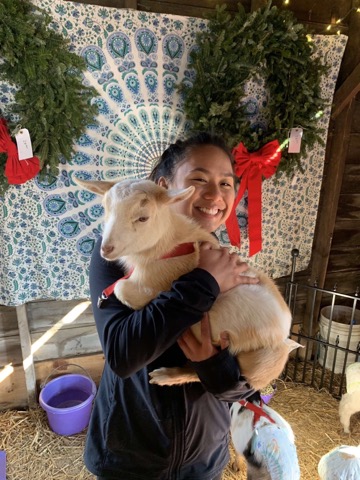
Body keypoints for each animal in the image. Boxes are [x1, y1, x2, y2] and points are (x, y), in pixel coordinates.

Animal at [77, 178, 300, 392]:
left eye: (143, 218)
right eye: (106, 210)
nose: (105, 249)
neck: (170, 244)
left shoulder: (159, 280)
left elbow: (121, 289)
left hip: (263, 362)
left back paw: (166, 375)